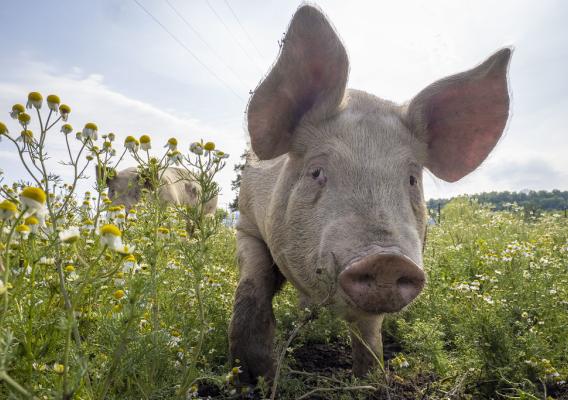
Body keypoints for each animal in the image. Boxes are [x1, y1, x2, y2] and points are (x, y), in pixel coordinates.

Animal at [229, 3, 512, 384]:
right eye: (317, 172)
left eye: (412, 179)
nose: (386, 260)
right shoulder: (247, 223)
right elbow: (252, 286)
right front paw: (254, 377)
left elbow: (368, 329)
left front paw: (369, 380)